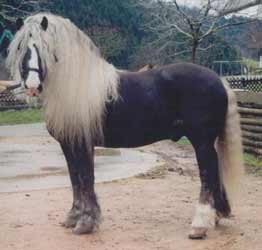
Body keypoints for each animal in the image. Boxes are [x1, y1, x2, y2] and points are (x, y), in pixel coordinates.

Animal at [6, 12, 244, 239]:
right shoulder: (68, 144)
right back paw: (217, 215)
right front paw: (74, 217)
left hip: (201, 141)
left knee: (207, 173)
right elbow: (75, 179)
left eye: (45, 47)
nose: (32, 86)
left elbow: (86, 178)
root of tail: (219, 79)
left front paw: (86, 223)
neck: (77, 87)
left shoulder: (83, 143)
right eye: (20, 48)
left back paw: (199, 225)